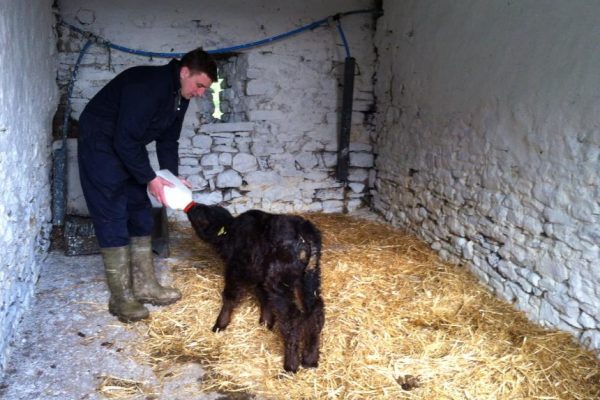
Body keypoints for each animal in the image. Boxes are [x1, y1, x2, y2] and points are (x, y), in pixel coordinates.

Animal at [188, 203, 326, 372]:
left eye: (204, 213)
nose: (192, 206)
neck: (230, 233)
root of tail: (303, 229)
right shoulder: (258, 272)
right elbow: (263, 297)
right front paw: (266, 323)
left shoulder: (236, 268)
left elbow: (230, 296)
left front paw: (220, 324)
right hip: (310, 276)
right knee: (316, 310)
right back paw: (310, 359)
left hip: (279, 279)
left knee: (292, 318)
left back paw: (291, 365)